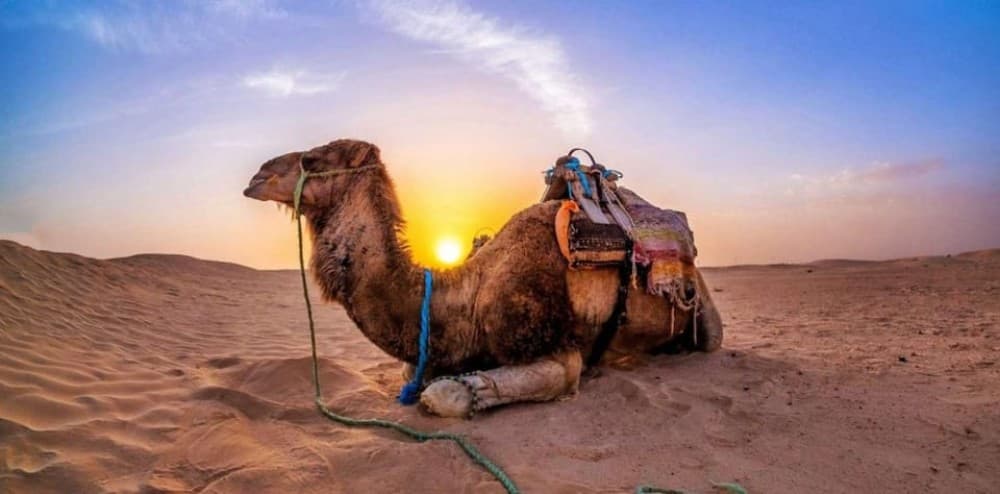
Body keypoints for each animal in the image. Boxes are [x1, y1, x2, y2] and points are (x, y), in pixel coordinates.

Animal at [243, 139, 723, 418]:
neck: (463, 300)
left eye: (310, 160)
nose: (256, 177)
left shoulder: (557, 348)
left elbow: (443, 395)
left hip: (705, 318)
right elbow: (411, 373)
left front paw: (459, 391)